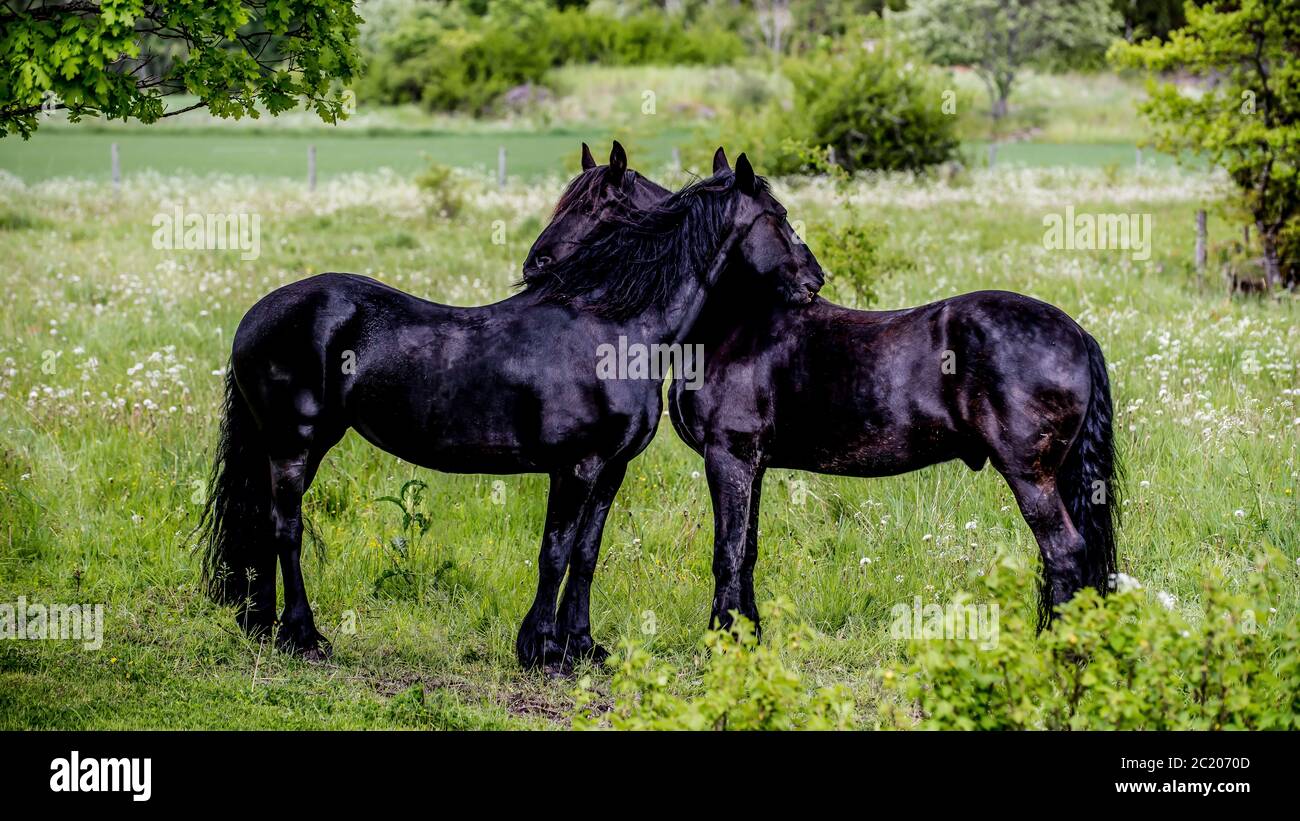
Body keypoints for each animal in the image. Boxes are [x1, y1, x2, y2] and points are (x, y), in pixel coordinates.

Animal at [196, 143, 824, 669]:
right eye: (779, 215)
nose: (815, 279)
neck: (614, 327)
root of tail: (255, 315)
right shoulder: (574, 467)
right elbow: (555, 552)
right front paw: (542, 649)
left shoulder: (611, 469)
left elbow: (586, 553)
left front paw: (582, 646)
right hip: (294, 444)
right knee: (286, 529)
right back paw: (303, 636)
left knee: (265, 524)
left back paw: (264, 625)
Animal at [663, 150, 1119, 632]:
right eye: (780, 217)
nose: (815, 279)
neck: (732, 325)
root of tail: (1077, 332)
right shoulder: (751, 465)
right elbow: (745, 553)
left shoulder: (729, 458)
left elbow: (727, 557)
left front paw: (724, 639)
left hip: (1032, 477)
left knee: (1064, 553)